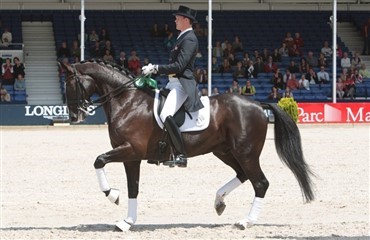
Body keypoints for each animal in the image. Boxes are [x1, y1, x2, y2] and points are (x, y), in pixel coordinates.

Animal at [61, 59, 316, 231]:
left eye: (70, 84)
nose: (74, 116)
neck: (128, 102)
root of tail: (257, 104)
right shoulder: (131, 157)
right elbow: (133, 187)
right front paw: (127, 221)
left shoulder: (130, 150)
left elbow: (99, 160)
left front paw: (111, 194)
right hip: (225, 151)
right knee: (243, 175)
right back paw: (219, 202)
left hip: (246, 153)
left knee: (260, 183)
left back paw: (246, 221)